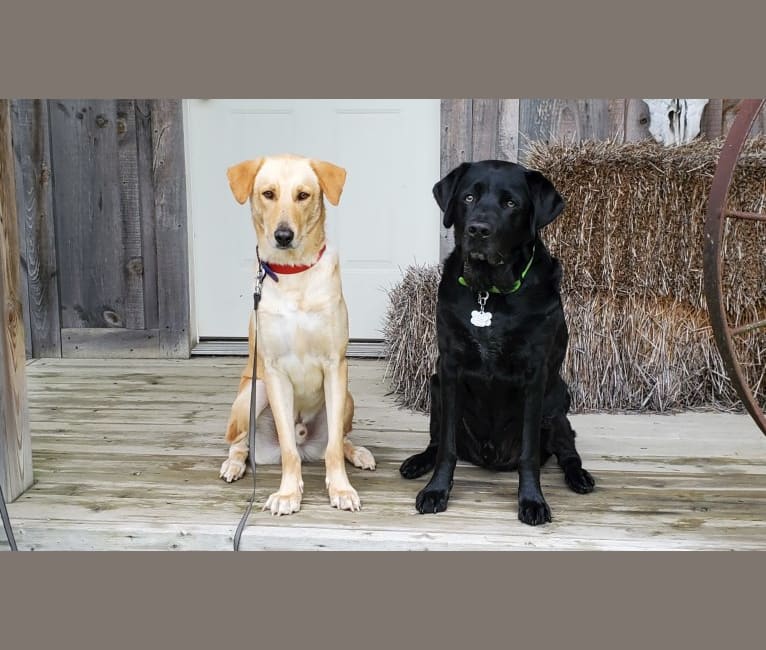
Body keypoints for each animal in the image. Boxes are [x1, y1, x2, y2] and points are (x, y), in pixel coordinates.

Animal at [400, 159, 596, 524]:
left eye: (510, 204)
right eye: (468, 197)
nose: (478, 230)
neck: (488, 293)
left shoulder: (535, 374)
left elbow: (529, 455)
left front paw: (532, 500)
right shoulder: (449, 368)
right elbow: (446, 448)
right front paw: (436, 490)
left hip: (558, 401)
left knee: (567, 450)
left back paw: (579, 476)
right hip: (435, 387)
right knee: (436, 442)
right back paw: (418, 462)